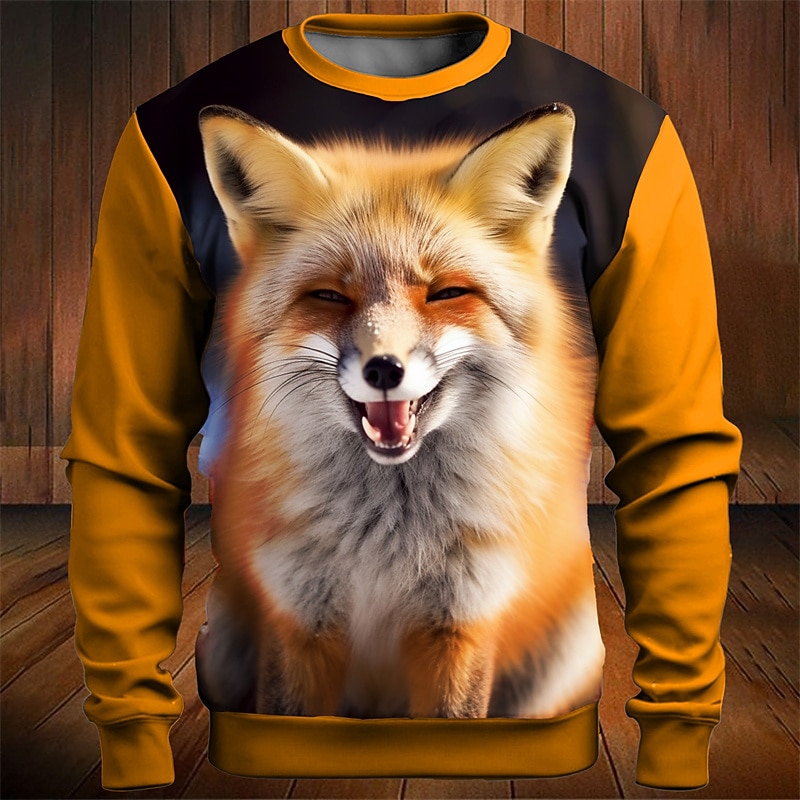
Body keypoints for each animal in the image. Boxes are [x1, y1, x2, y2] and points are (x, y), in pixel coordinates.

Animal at [194, 102, 605, 720]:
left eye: (446, 293)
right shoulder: (299, 615)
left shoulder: (461, 622)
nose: (384, 370)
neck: (387, 543)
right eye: (329, 296)